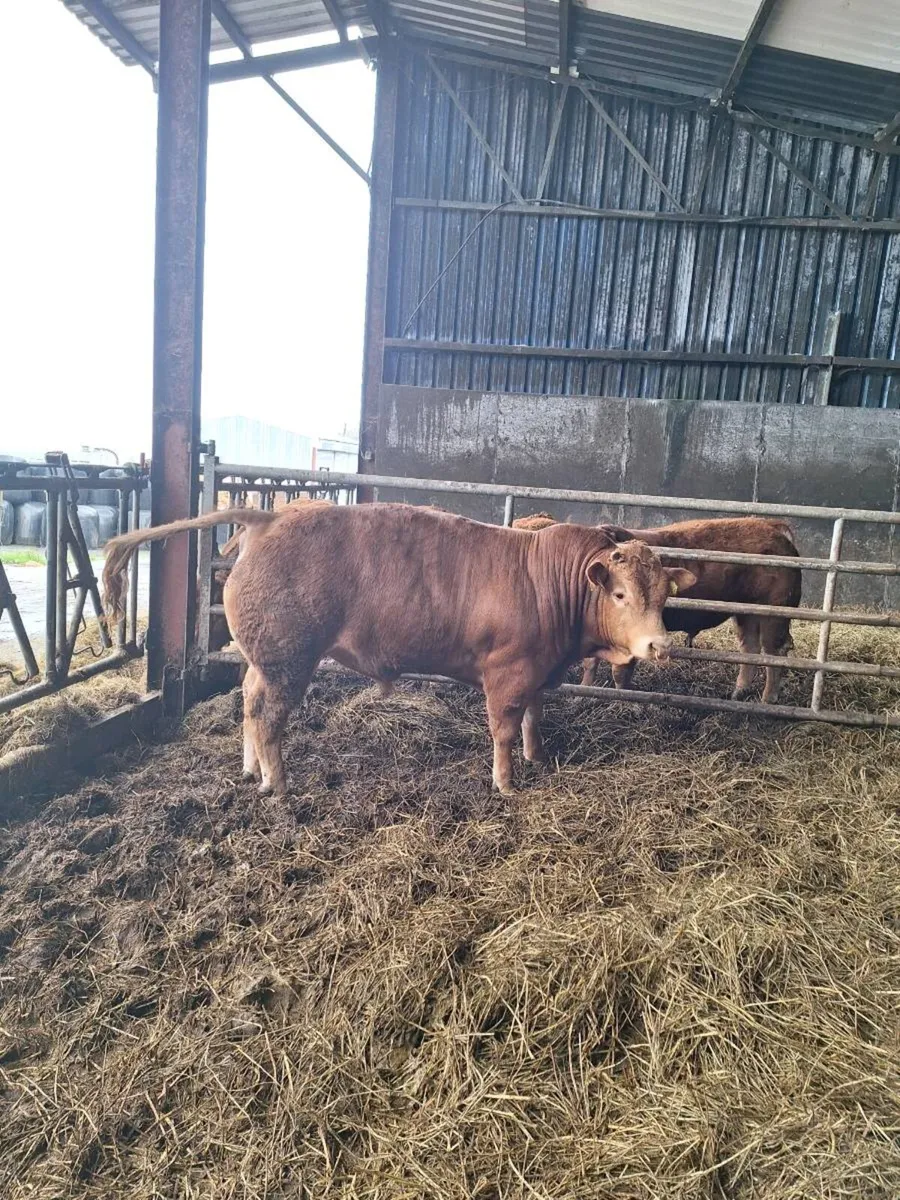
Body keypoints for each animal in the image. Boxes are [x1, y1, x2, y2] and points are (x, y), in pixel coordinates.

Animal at [104, 503, 695, 796]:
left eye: (664, 594)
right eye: (620, 593)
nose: (660, 645)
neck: (548, 580)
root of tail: (269, 518)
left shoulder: (536, 674)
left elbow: (533, 717)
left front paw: (537, 756)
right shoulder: (506, 672)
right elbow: (504, 728)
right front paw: (506, 783)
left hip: (265, 659)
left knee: (248, 702)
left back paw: (251, 770)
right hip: (289, 660)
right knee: (268, 716)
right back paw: (278, 782)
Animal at [512, 515, 801, 703]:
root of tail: (775, 530)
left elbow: (619, 671)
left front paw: (619, 697)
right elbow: (590, 662)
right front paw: (584, 694)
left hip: (773, 615)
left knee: (774, 653)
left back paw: (768, 698)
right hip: (746, 614)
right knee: (750, 649)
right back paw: (739, 692)